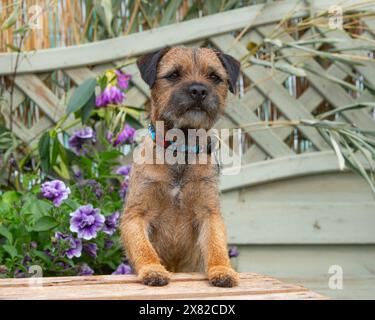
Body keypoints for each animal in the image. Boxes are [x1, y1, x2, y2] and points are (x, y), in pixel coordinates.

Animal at [122, 47, 242, 288]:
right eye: (174, 75)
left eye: (214, 77)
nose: (198, 90)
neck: (180, 151)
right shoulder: (135, 215)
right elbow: (143, 247)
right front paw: (152, 269)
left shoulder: (209, 213)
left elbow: (216, 245)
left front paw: (222, 270)